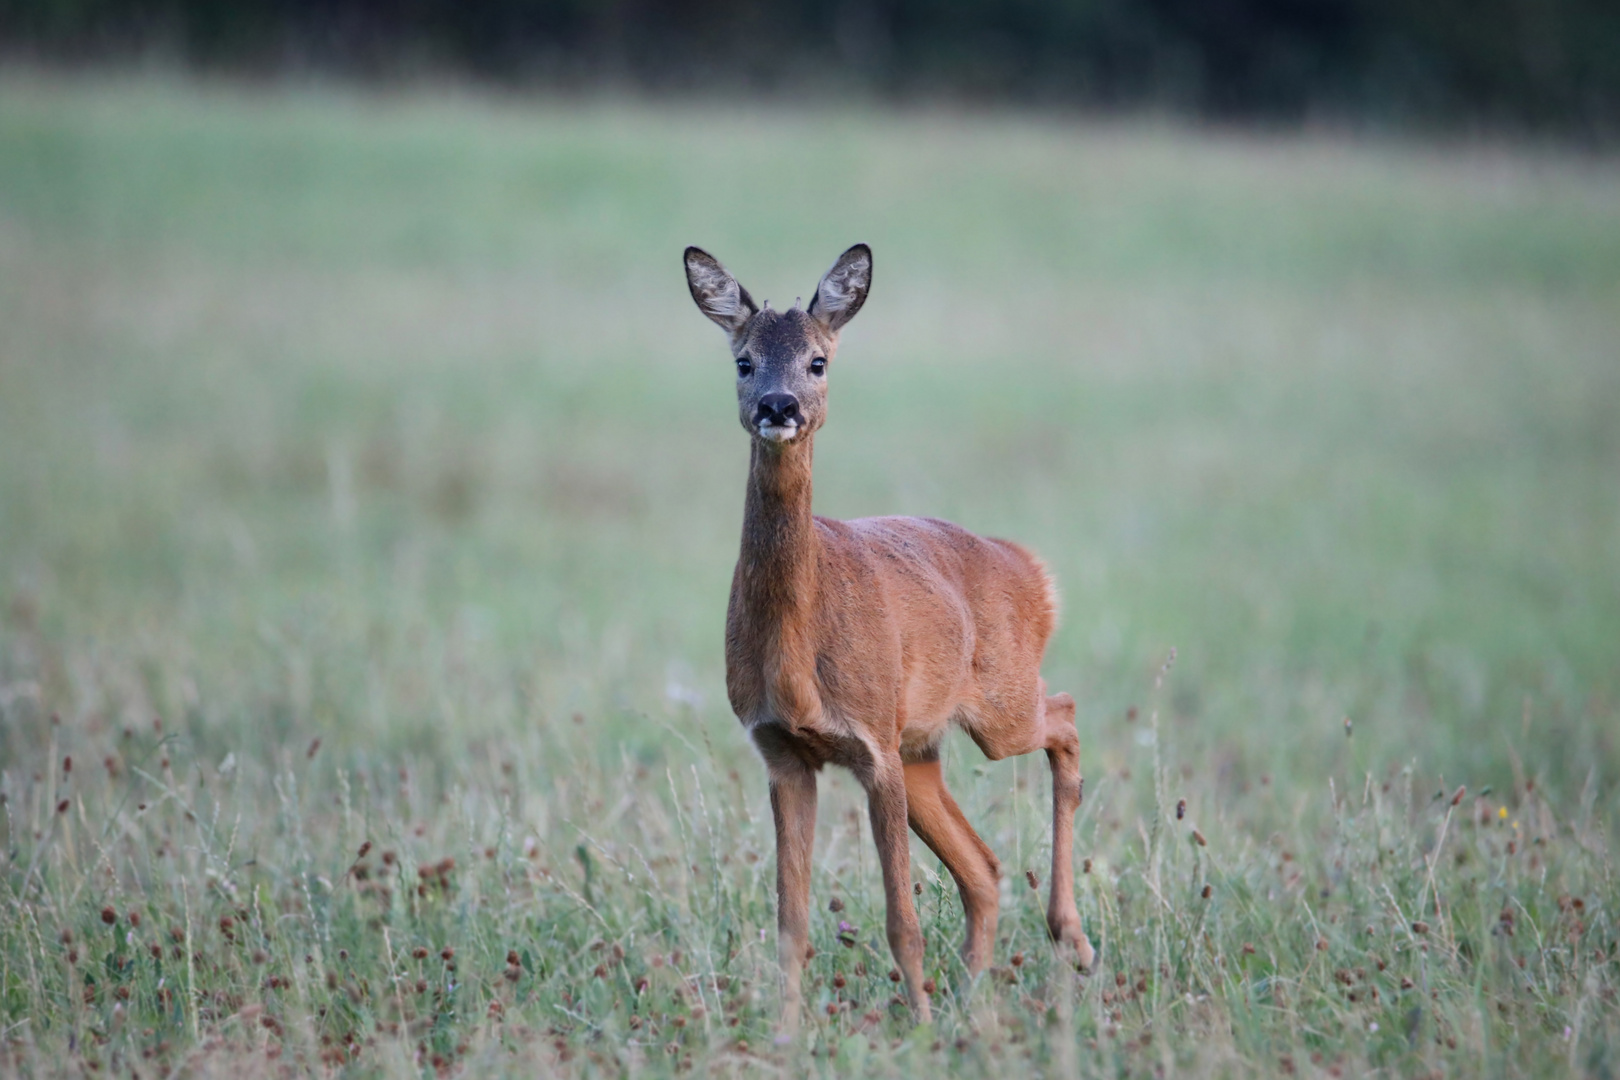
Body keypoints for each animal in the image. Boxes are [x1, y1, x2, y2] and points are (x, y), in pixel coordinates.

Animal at [677, 241, 1095, 1029]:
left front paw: (919, 1031)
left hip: (996, 709)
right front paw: (785, 1035)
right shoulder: (784, 752)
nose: (778, 406)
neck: (797, 651)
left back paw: (1072, 943)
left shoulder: (872, 743)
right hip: (923, 747)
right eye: (744, 361)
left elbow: (902, 919)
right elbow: (791, 922)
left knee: (1065, 715)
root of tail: (1031, 571)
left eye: (818, 360)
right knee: (984, 867)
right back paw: (973, 999)